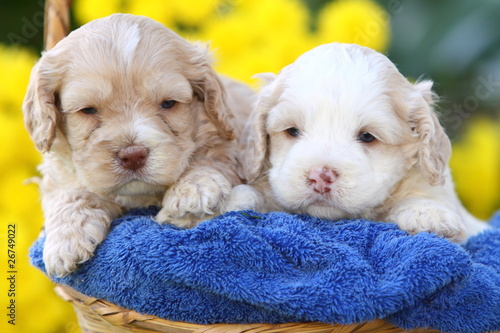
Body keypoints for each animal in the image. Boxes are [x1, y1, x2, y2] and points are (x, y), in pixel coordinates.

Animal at [22, 14, 254, 276]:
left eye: (168, 103)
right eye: (88, 110)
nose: (133, 155)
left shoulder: (230, 139)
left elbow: (212, 157)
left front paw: (192, 189)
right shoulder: (60, 169)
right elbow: (69, 191)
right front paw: (66, 240)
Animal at [229, 42, 490, 243]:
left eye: (367, 136)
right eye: (292, 131)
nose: (320, 177)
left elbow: (426, 193)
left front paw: (428, 213)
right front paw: (239, 197)